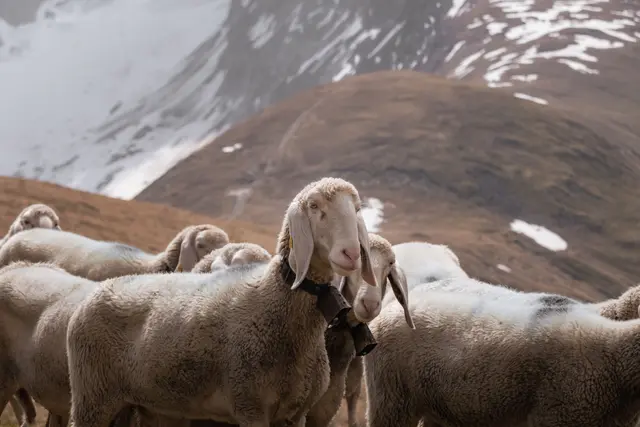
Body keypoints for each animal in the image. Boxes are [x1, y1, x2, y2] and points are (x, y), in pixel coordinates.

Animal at [65, 176, 380, 427]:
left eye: (356, 209)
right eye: (314, 206)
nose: (351, 253)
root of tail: (101, 289)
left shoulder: (295, 414)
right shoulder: (250, 406)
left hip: (149, 407)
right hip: (92, 397)